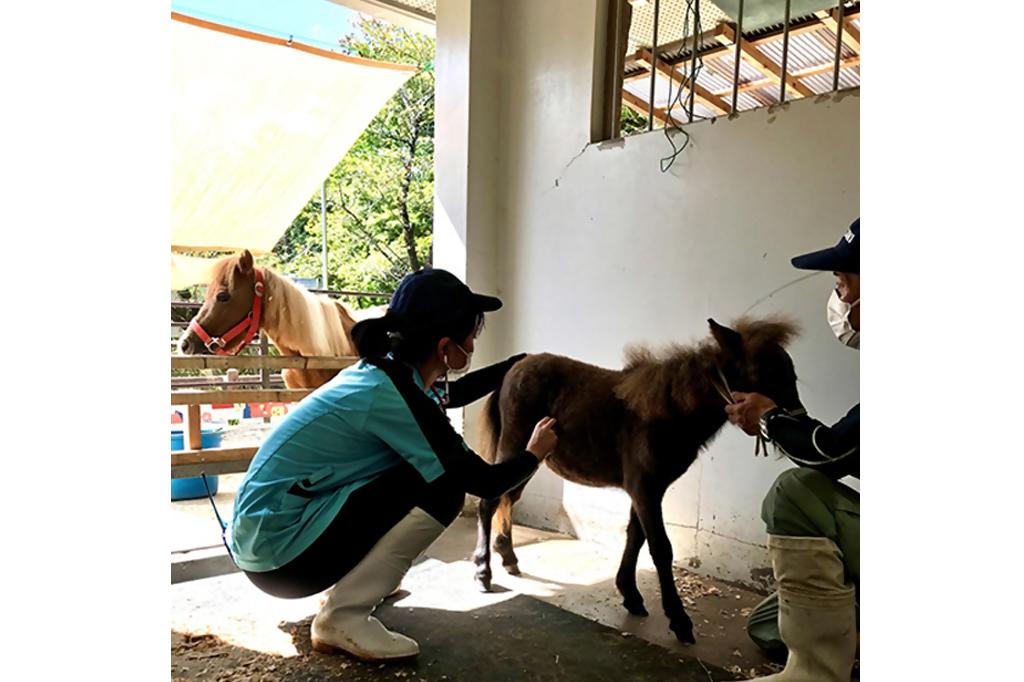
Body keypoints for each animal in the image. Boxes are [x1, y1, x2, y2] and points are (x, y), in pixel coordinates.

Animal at [471, 315, 798, 638]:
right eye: (762, 371)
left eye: (791, 372)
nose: (791, 420)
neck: (667, 411)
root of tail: (512, 369)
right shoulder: (645, 489)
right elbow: (660, 548)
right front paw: (678, 619)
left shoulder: (646, 490)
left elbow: (635, 536)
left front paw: (630, 595)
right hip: (514, 447)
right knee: (490, 501)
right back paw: (483, 572)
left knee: (508, 498)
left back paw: (508, 556)